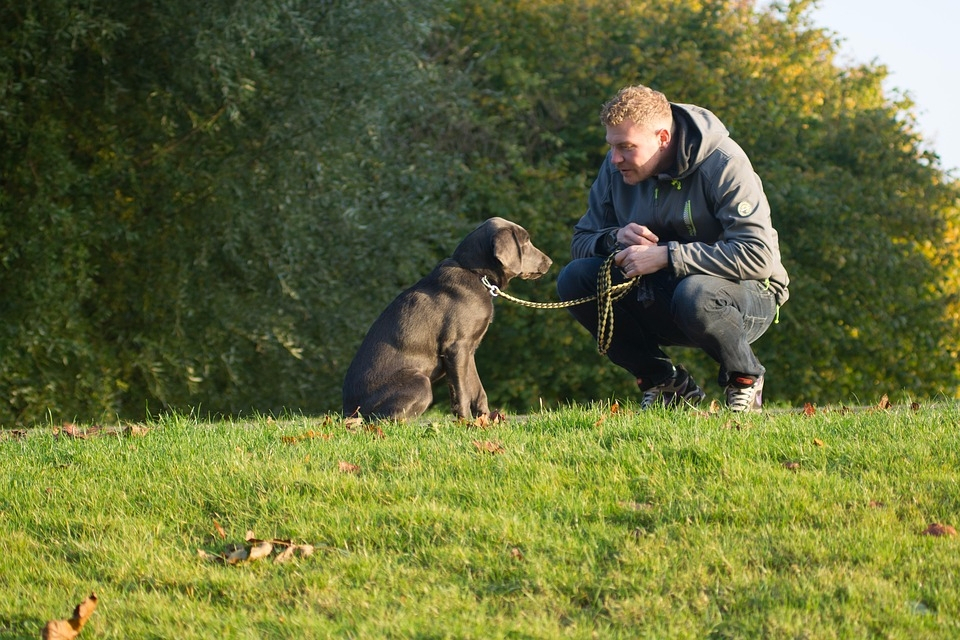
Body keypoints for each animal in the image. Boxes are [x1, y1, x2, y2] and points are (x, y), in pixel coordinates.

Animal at [344, 218, 556, 422]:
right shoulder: (456, 347)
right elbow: (461, 392)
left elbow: (478, 390)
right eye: (525, 242)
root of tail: (347, 412)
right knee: (383, 419)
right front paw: (466, 423)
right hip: (420, 382)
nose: (550, 262)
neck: (475, 273)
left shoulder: (469, 350)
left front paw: (485, 421)